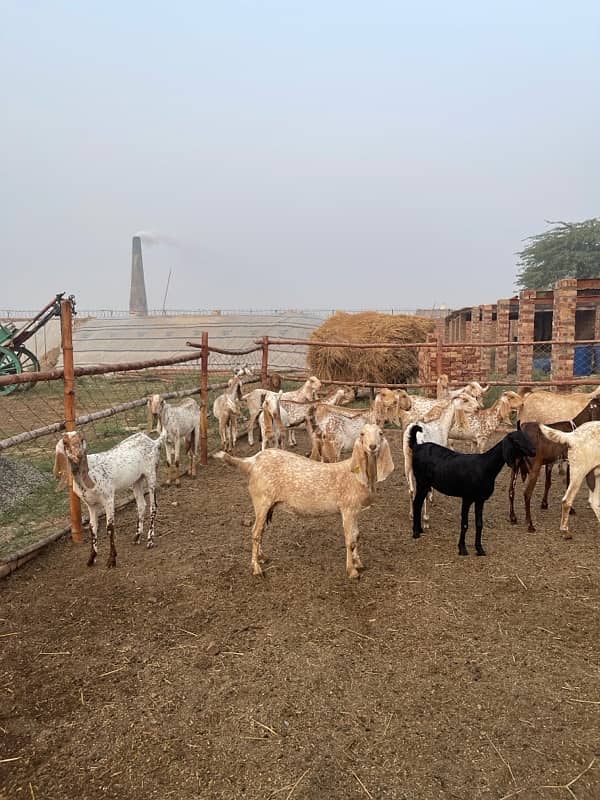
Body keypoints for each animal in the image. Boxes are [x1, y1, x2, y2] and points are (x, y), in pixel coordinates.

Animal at [54, 432, 164, 568]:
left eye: (81, 439)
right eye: (65, 442)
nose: (78, 455)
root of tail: (153, 441)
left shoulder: (108, 498)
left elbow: (110, 527)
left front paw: (112, 560)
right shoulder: (90, 505)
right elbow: (92, 528)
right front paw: (91, 558)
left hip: (151, 474)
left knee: (153, 506)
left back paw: (150, 540)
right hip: (137, 480)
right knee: (141, 505)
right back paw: (137, 537)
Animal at [212, 422, 394, 580]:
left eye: (381, 433)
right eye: (362, 434)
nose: (372, 446)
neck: (356, 475)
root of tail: (251, 462)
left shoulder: (355, 510)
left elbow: (356, 536)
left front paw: (359, 563)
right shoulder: (347, 508)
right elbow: (349, 540)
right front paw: (352, 571)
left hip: (266, 504)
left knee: (260, 530)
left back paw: (262, 557)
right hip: (261, 500)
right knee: (255, 532)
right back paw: (256, 568)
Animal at [408, 424, 536, 556]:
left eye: (526, 437)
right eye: (516, 441)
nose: (533, 451)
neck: (485, 467)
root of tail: (417, 446)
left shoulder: (480, 499)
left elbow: (479, 524)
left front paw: (479, 549)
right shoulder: (467, 498)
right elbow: (464, 524)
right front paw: (462, 548)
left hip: (426, 484)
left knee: (418, 503)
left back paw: (420, 529)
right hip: (421, 482)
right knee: (416, 503)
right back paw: (415, 533)